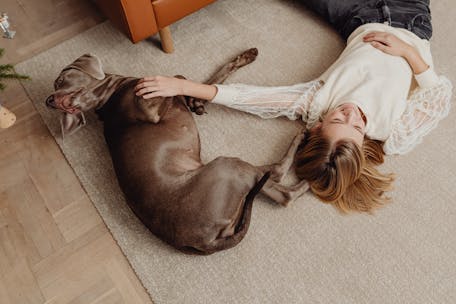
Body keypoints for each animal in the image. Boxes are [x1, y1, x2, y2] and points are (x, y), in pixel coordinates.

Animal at [46, 50, 308, 254]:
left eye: (60, 80)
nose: (50, 101)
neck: (110, 98)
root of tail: (205, 242)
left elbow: (208, 82)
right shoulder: (150, 107)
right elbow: (178, 79)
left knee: (279, 190)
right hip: (226, 167)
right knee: (279, 180)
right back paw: (306, 147)